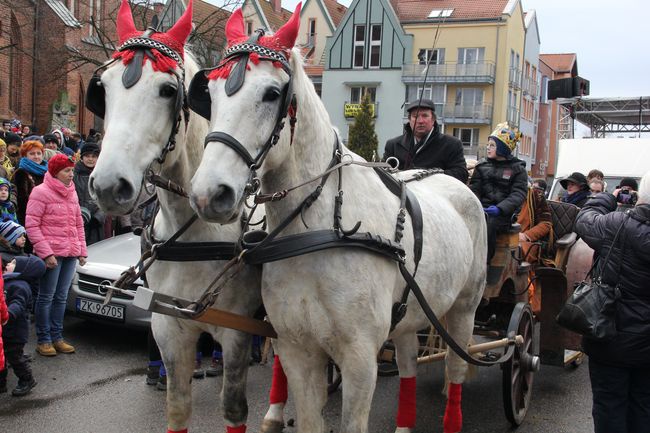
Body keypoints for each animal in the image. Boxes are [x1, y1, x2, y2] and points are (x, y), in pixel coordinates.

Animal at [87, 1, 262, 430]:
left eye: (167, 90)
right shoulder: (167, 327)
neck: (197, 230)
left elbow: (233, 409)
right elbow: (177, 406)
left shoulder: (237, 331)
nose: (108, 185)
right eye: (104, 89)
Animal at [190, 5, 484, 432]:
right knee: (409, 362)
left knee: (456, 370)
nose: (208, 193)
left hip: (463, 309)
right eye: (209, 96)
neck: (321, 229)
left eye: (272, 93)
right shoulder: (296, 349)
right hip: (412, 313)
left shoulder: (360, 360)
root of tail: (454, 182)